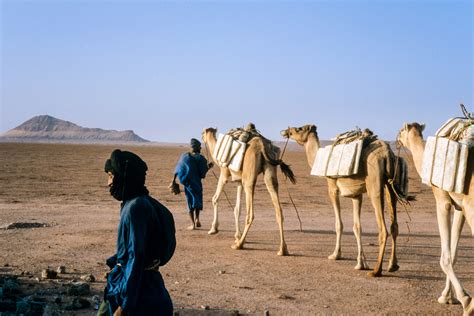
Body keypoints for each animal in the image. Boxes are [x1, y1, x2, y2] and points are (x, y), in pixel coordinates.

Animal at [201, 127, 296, 256]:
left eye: (202, 133)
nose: (201, 138)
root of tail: (262, 145)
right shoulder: (239, 182)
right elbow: (237, 209)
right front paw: (237, 236)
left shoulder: (224, 174)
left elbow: (215, 198)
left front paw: (213, 229)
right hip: (269, 171)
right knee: (278, 209)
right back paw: (282, 249)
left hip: (249, 177)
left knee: (250, 213)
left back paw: (239, 245)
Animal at [280, 123, 402, 276]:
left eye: (299, 129)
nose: (286, 131)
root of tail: (387, 153)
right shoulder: (356, 195)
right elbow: (357, 227)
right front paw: (361, 263)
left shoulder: (332, 187)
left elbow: (339, 224)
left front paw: (335, 255)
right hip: (390, 185)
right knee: (394, 225)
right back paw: (392, 265)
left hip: (375, 185)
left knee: (383, 229)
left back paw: (376, 271)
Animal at [396, 122, 474, 314]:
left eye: (401, 130)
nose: (397, 139)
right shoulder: (460, 207)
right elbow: (453, 253)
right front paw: (448, 297)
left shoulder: (443, 200)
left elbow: (445, 257)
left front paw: (465, 300)